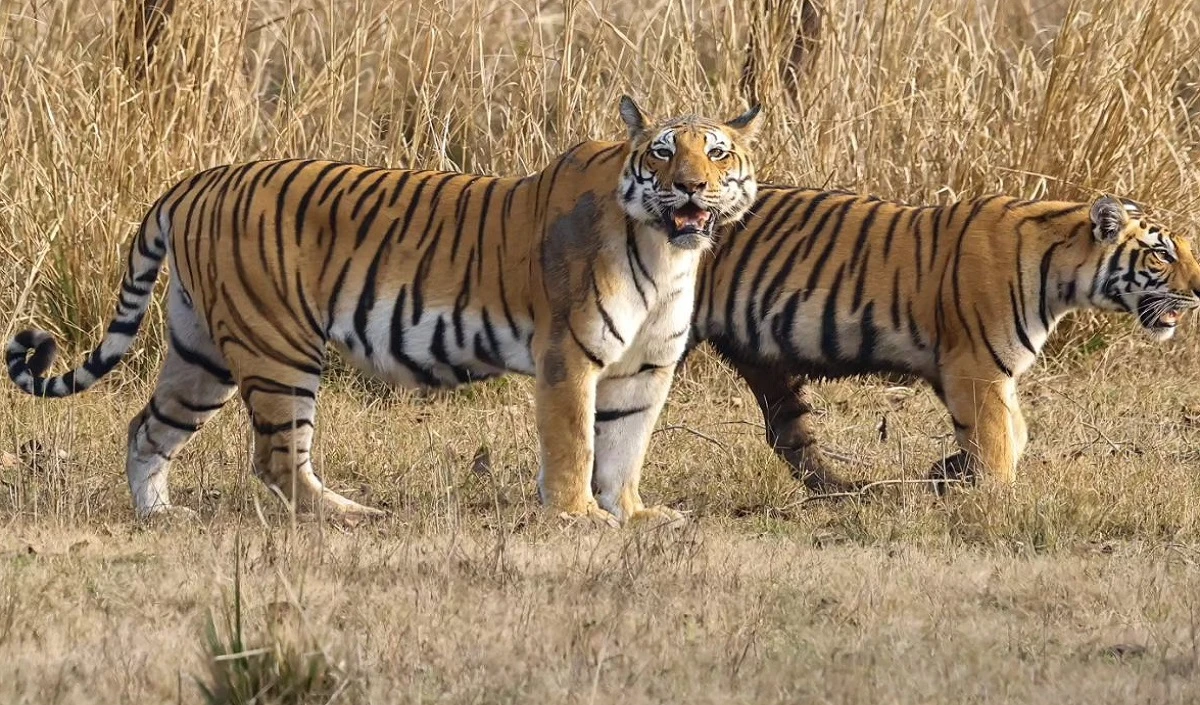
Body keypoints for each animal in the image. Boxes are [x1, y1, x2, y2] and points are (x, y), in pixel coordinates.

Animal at [7, 96, 762, 525]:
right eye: (661, 153)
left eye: (717, 152)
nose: (691, 186)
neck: (666, 254)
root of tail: (197, 179)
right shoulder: (567, 359)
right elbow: (575, 445)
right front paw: (579, 518)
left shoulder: (644, 370)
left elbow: (624, 449)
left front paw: (634, 514)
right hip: (276, 348)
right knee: (277, 460)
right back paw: (351, 515)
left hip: (202, 353)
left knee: (147, 427)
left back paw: (161, 514)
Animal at [690, 190, 1200, 492]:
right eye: (1161, 254)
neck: (1061, 276)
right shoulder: (975, 367)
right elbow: (997, 443)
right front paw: (997, 503)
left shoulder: (980, 371)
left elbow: (1016, 433)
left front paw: (950, 471)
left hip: (766, 365)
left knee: (790, 434)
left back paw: (847, 491)